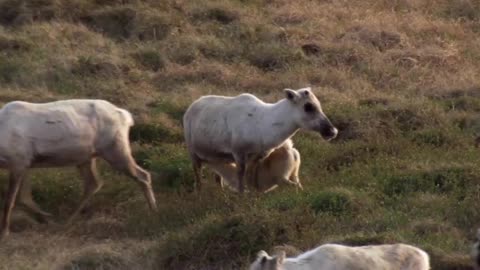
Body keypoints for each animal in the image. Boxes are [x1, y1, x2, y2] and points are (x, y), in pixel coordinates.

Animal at [0, 99, 156, 238]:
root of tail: (126, 116)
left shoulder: (19, 161)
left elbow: (10, 201)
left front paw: (5, 232)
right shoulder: (26, 163)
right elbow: (24, 198)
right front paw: (46, 218)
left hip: (115, 149)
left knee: (143, 175)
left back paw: (153, 212)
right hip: (87, 158)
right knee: (93, 183)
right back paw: (68, 220)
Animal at [184, 86, 338, 192]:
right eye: (308, 106)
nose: (332, 131)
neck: (264, 124)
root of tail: (191, 107)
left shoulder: (258, 156)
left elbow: (251, 176)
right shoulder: (238, 153)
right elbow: (241, 177)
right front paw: (242, 196)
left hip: (219, 156)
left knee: (218, 177)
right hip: (192, 152)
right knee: (197, 174)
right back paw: (199, 193)